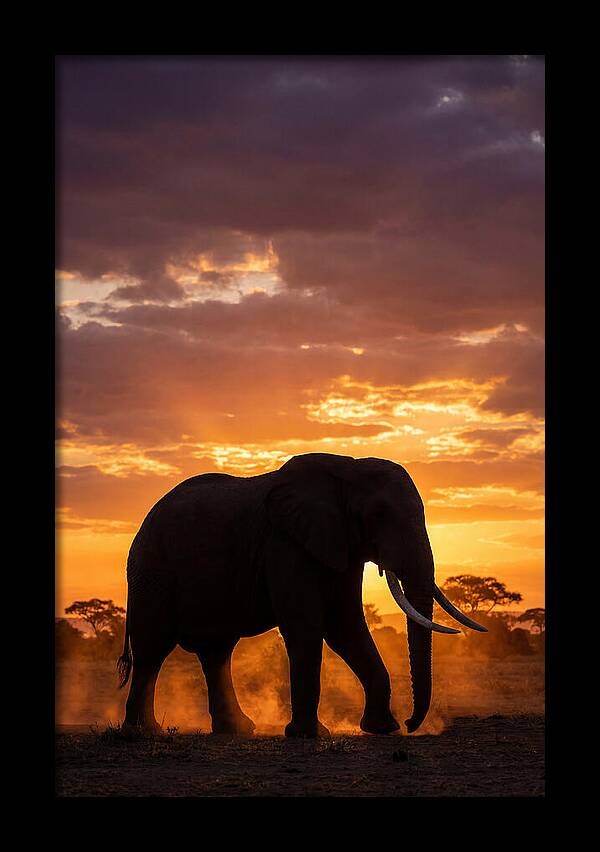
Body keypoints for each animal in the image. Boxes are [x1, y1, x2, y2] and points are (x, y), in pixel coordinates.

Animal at [117, 452, 485, 737]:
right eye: (378, 515)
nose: (411, 723)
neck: (347, 469)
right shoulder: (284, 543)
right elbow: (308, 627)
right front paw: (308, 734)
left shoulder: (340, 545)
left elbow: (345, 626)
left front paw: (382, 729)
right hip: (152, 570)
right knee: (153, 650)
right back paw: (143, 732)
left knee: (216, 652)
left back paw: (237, 730)